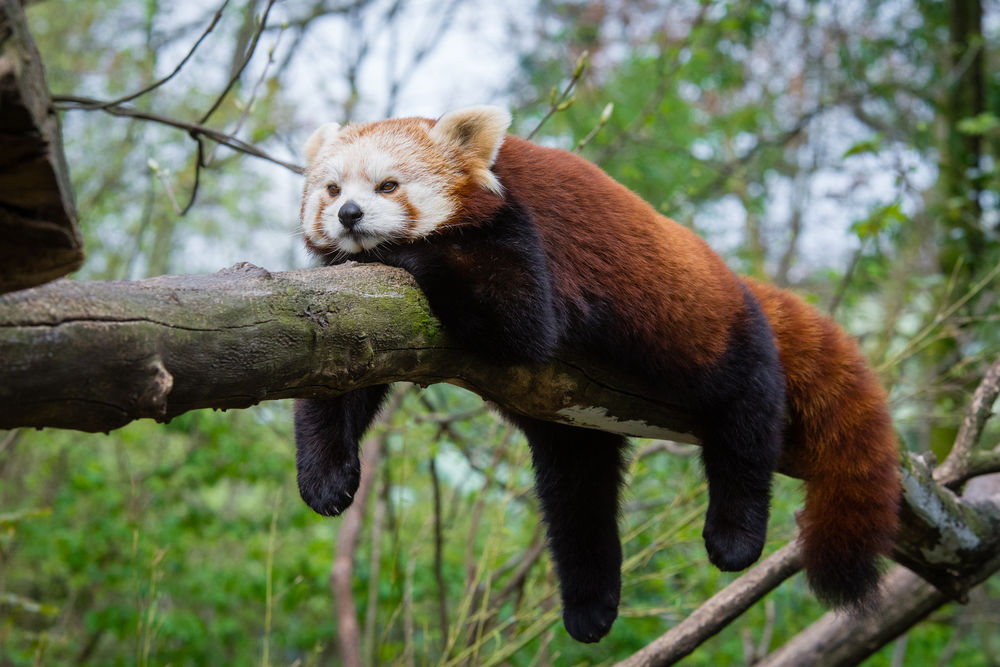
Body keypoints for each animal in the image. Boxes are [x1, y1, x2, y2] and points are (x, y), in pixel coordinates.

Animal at [292, 104, 904, 640]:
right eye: (332, 190)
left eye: (388, 186)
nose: (349, 215)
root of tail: (740, 284)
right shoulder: (367, 320)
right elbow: (338, 378)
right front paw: (326, 478)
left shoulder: (522, 233)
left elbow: (518, 318)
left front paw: (398, 249)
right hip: (575, 419)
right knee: (576, 493)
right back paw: (590, 605)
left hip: (711, 334)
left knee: (746, 415)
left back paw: (735, 534)